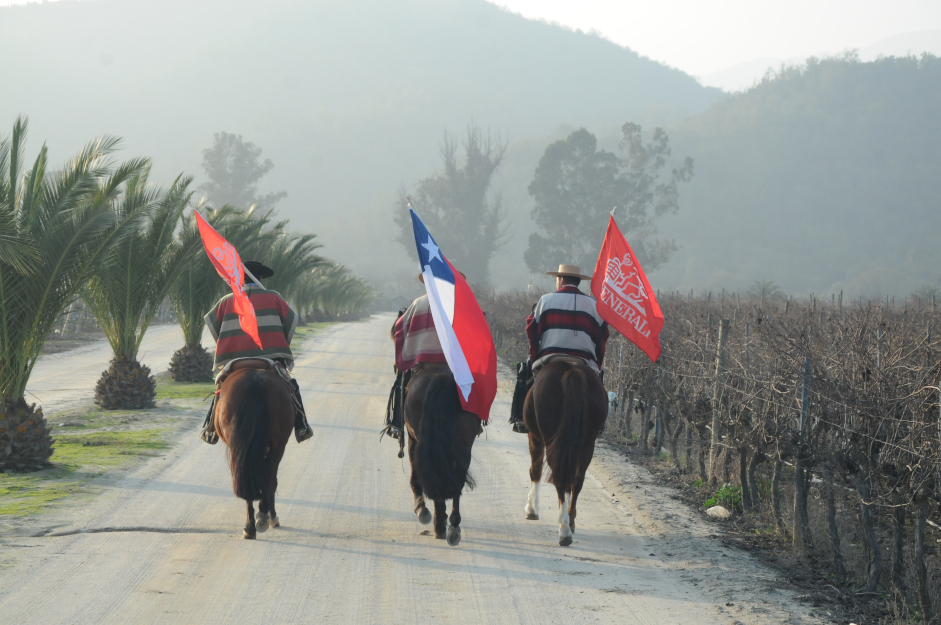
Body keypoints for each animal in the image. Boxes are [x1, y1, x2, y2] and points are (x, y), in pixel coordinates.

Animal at [215, 360, 292, 536]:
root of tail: (254, 381)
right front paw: (270, 516)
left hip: (239, 446)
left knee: (246, 476)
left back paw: (250, 526)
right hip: (277, 446)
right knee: (269, 477)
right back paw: (265, 518)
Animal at [404, 364, 482, 544]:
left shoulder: (412, 439)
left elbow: (415, 478)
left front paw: (422, 508)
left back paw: (439, 525)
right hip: (463, 447)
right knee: (457, 481)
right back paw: (453, 527)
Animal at [524, 358, 604, 544]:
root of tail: (572, 371)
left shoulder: (535, 437)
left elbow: (535, 471)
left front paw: (531, 509)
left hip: (549, 438)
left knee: (558, 477)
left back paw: (564, 529)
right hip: (587, 444)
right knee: (576, 479)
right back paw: (570, 520)